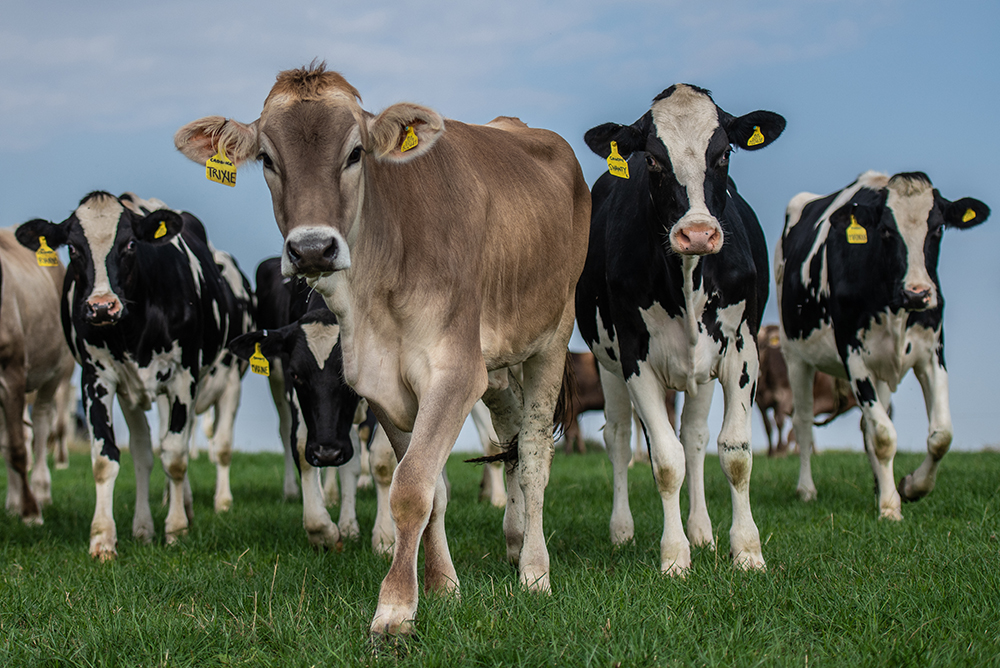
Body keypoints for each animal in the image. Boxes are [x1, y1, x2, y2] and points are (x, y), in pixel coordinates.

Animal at [1, 230, 76, 520]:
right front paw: (20, 504)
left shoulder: (12, 373)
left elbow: (19, 448)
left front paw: (31, 512)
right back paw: (13, 502)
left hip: (53, 373)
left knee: (43, 425)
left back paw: (40, 492)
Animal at [15, 190, 254, 556]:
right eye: (73, 248)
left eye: (129, 244)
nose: (101, 307)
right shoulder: (96, 379)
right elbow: (107, 459)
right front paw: (103, 538)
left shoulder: (184, 378)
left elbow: (175, 455)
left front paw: (176, 529)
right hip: (133, 393)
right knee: (143, 452)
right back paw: (145, 525)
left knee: (195, 444)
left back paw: (198, 506)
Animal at [176, 62, 588, 636]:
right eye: (268, 159)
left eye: (355, 153)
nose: (312, 248)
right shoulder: (382, 383)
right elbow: (430, 488)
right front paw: (442, 586)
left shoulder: (455, 371)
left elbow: (410, 486)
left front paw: (394, 608)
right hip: (500, 368)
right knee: (507, 438)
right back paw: (512, 538)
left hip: (551, 337)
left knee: (531, 456)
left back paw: (533, 569)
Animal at [576, 85, 784, 576]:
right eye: (652, 159)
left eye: (724, 153)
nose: (698, 233)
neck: (688, 277)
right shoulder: (633, 357)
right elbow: (665, 460)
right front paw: (674, 556)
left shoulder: (743, 351)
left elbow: (734, 452)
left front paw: (747, 550)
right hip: (607, 364)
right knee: (619, 438)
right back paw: (622, 531)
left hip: (701, 370)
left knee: (694, 438)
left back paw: (703, 530)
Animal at [772, 171, 984, 516]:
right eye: (885, 230)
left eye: (938, 228)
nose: (917, 293)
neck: (895, 305)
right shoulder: (853, 355)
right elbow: (884, 436)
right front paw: (889, 506)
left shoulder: (932, 353)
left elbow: (941, 435)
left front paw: (909, 487)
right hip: (795, 356)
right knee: (803, 422)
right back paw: (806, 490)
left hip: (881, 368)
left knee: (868, 422)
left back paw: (879, 484)